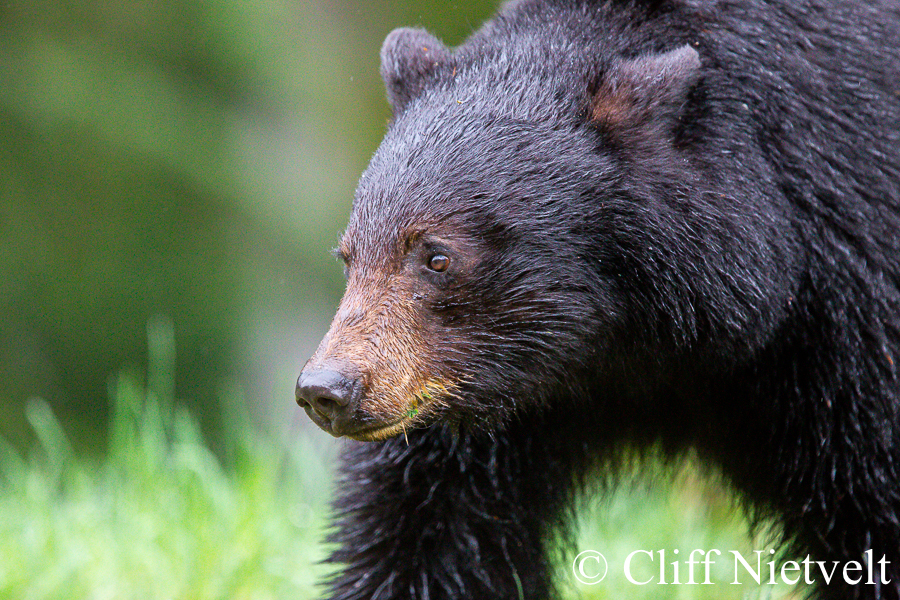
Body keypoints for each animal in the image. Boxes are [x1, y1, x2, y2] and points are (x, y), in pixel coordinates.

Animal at [295, 1, 900, 598]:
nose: (326, 389)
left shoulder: (845, 317)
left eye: (437, 256)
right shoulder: (488, 400)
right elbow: (430, 527)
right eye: (349, 255)